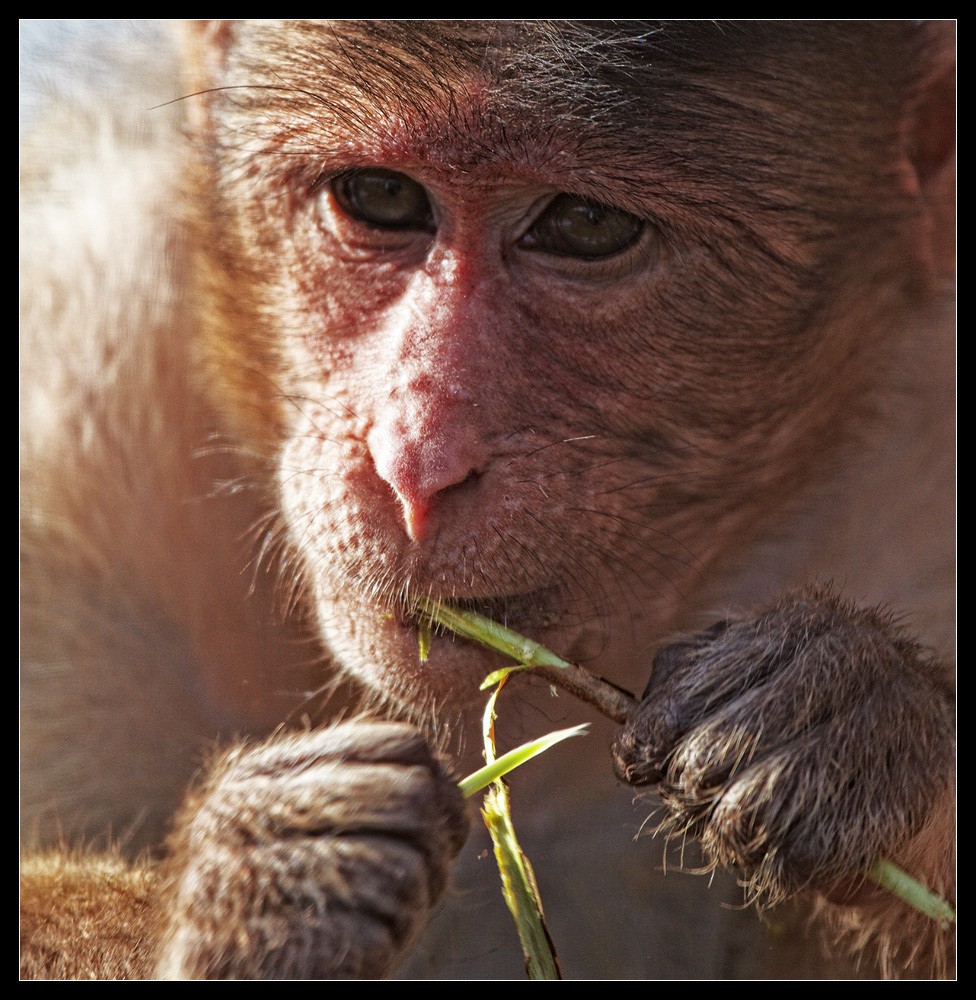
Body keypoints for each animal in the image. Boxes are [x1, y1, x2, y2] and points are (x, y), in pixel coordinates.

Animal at [19, 19, 956, 980]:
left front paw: (856, 720)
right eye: (382, 197)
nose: (416, 461)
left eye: (586, 225)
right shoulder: (71, 377)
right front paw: (255, 885)